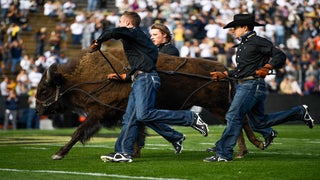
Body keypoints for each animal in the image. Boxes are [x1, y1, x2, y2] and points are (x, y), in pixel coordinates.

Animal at [36, 47, 264, 160]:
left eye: (45, 89)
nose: (38, 109)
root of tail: (224, 70)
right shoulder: (130, 111)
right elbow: (138, 130)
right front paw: (134, 153)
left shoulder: (98, 113)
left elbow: (78, 132)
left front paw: (58, 153)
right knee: (239, 121)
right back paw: (246, 148)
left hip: (218, 106)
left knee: (238, 121)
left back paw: (248, 148)